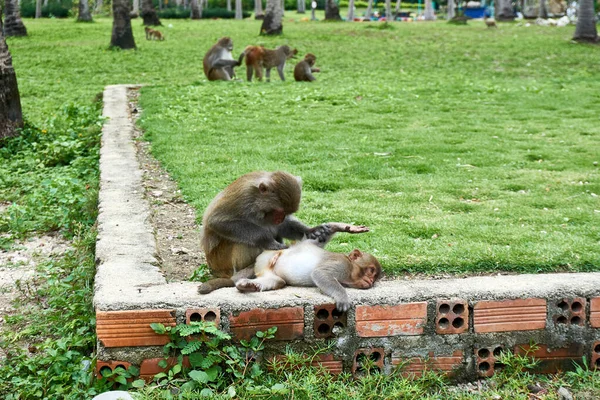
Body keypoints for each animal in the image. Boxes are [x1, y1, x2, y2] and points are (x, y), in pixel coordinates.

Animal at [197, 172, 370, 294]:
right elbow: (217, 221)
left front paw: (313, 231)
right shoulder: (243, 197)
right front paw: (267, 240)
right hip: (222, 262)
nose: (280, 218)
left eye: (286, 212)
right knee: (243, 242)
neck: (257, 202)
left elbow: (283, 227)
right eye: (278, 211)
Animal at [236, 222, 380, 312]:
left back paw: (248, 285)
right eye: (371, 271)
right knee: (316, 239)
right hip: (272, 255)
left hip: (268, 270)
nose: (371, 281)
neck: (350, 270)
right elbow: (320, 273)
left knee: (277, 281)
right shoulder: (342, 265)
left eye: (375, 277)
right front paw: (342, 297)